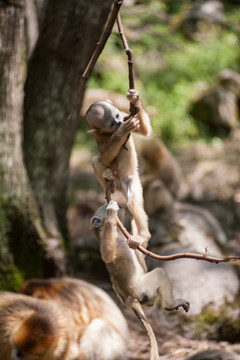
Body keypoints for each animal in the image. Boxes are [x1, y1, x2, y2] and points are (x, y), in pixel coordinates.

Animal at [86, 88, 152, 249]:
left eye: (117, 116)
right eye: (112, 124)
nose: (120, 122)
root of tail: (119, 185)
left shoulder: (124, 114)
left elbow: (145, 131)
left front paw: (135, 99)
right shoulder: (98, 135)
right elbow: (103, 157)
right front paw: (122, 131)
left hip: (130, 181)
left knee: (133, 202)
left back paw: (142, 236)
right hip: (115, 182)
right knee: (95, 159)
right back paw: (109, 179)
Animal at [90, 200, 189, 360]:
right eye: (104, 208)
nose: (120, 206)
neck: (117, 235)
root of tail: (130, 299)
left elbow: (140, 242)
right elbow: (107, 255)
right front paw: (111, 213)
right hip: (142, 288)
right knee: (160, 272)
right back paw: (170, 304)